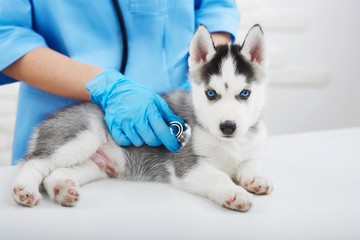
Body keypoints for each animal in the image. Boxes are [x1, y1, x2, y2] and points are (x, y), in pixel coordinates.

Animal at [11, 24, 272, 212]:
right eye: (211, 93)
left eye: (245, 93)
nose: (228, 127)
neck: (231, 143)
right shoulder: (186, 165)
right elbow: (218, 176)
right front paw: (234, 193)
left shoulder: (252, 150)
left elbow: (251, 164)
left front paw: (255, 179)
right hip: (82, 135)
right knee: (33, 162)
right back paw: (24, 189)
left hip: (97, 164)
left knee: (55, 173)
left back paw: (62, 189)